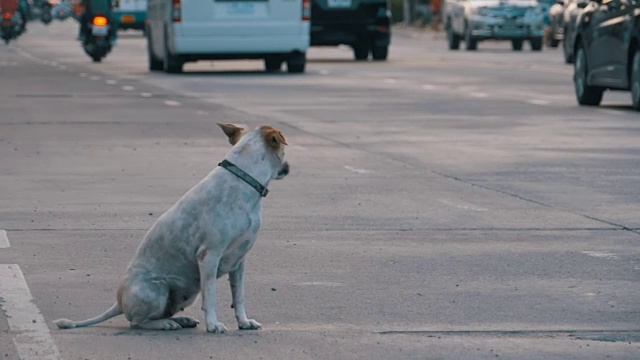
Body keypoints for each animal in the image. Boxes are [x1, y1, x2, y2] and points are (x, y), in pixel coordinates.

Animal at [55, 123, 290, 332]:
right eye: (283, 150)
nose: (289, 167)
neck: (244, 178)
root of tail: (119, 302)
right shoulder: (209, 256)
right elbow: (211, 297)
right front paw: (213, 325)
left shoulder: (239, 261)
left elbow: (239, 295)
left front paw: (244, 322)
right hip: (157, 289)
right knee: (137, 322)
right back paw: (164, 324)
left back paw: (181, 320)